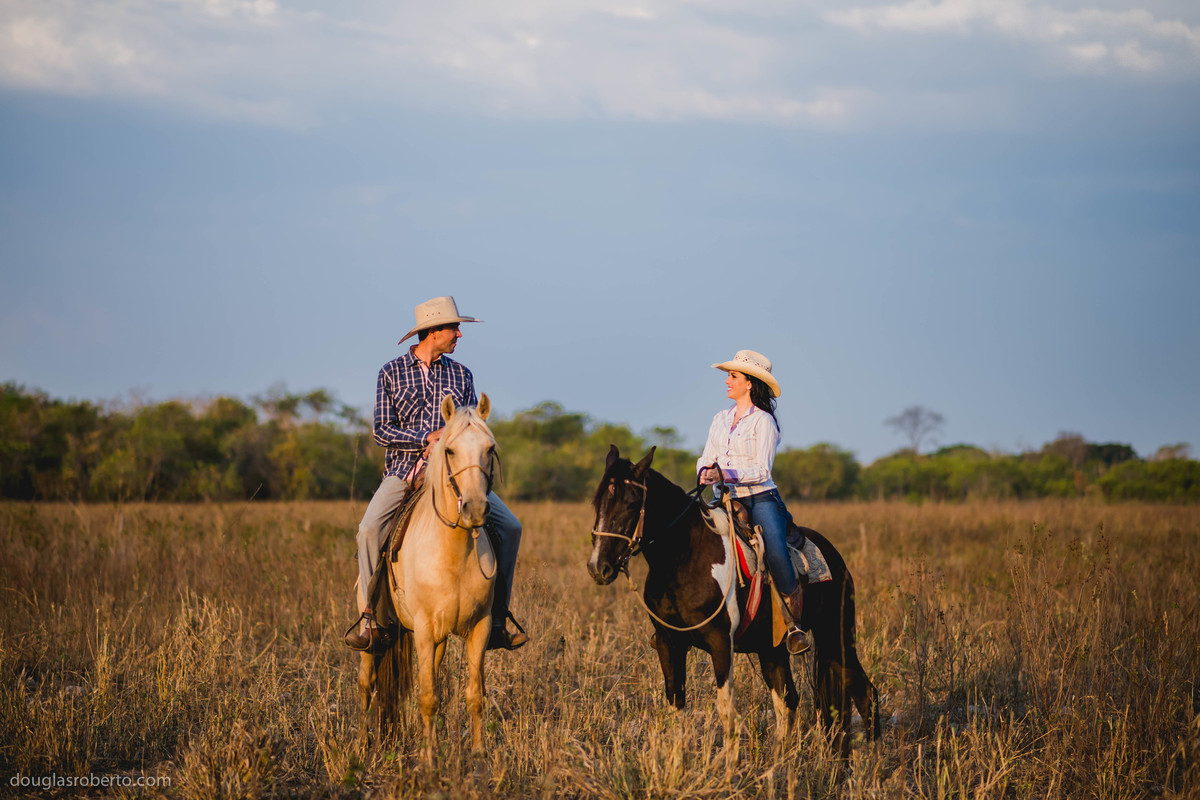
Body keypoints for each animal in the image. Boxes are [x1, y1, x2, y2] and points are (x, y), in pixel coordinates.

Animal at [359, 393, 499, 766]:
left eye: (490, 448)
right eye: (449, 450)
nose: (475, 509)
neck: (454, 552)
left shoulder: (479, 627)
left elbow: (473, 693)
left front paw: (478, 753)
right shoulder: (422, 628)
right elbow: (428, 697)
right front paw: (429, 759)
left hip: (435, 640)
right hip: (374, 632)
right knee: (366, 681)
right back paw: (361, 744)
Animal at [587, 445, 880, 760]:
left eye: (631, 504)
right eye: (598, 502)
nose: (598, 568)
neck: (684, 558)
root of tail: (834, 556)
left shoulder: (720, 643)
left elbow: (726, 711)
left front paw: (727, 769)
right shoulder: (668, 641)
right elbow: (676, 704)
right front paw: (677, 764)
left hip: (836, 638)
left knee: (865, 692)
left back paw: (872, 762)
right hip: (772, 649)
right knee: (787, 700)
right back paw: (779, 762)